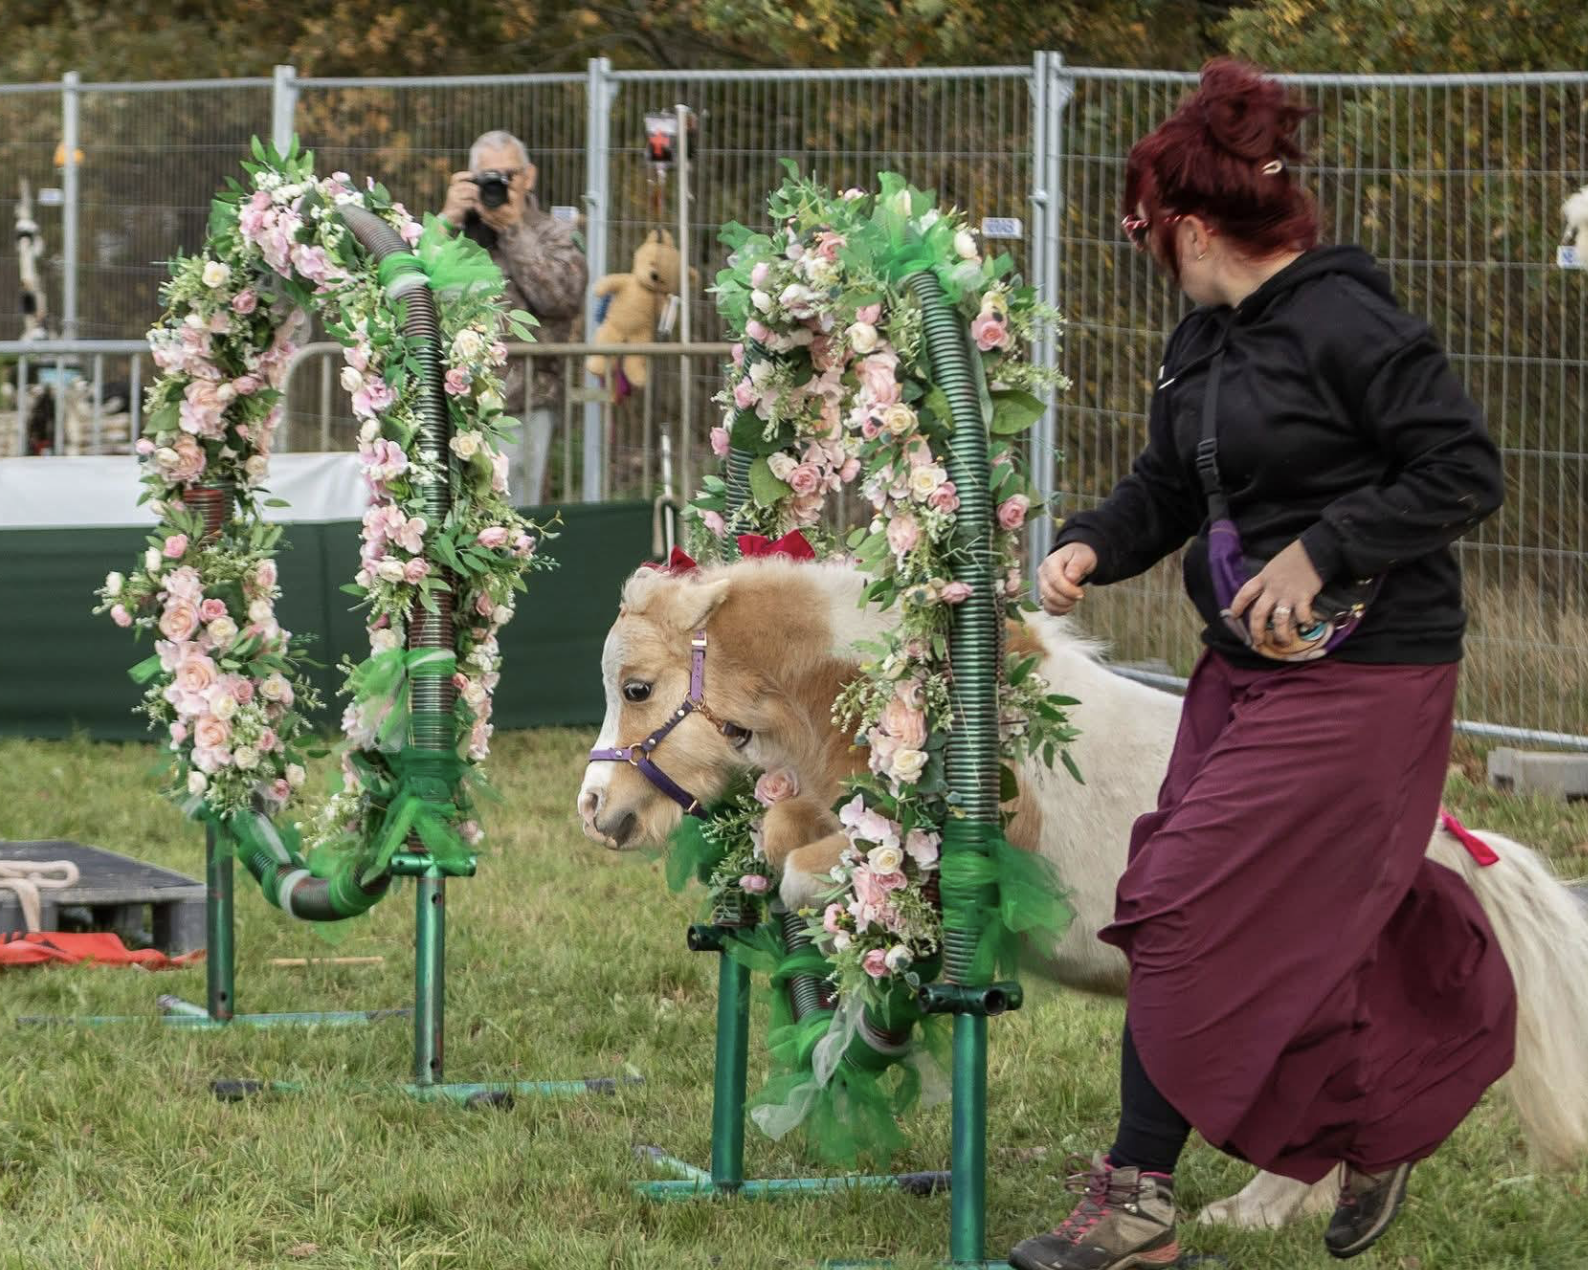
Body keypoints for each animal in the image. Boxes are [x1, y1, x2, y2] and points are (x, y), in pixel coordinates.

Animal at [576, 555, 1588, 1228]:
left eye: (639, 687)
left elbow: (803, 873)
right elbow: (787, 846)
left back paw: (1259, 1214)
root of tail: (1444, 846)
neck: (913, 700)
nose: (598, 811)